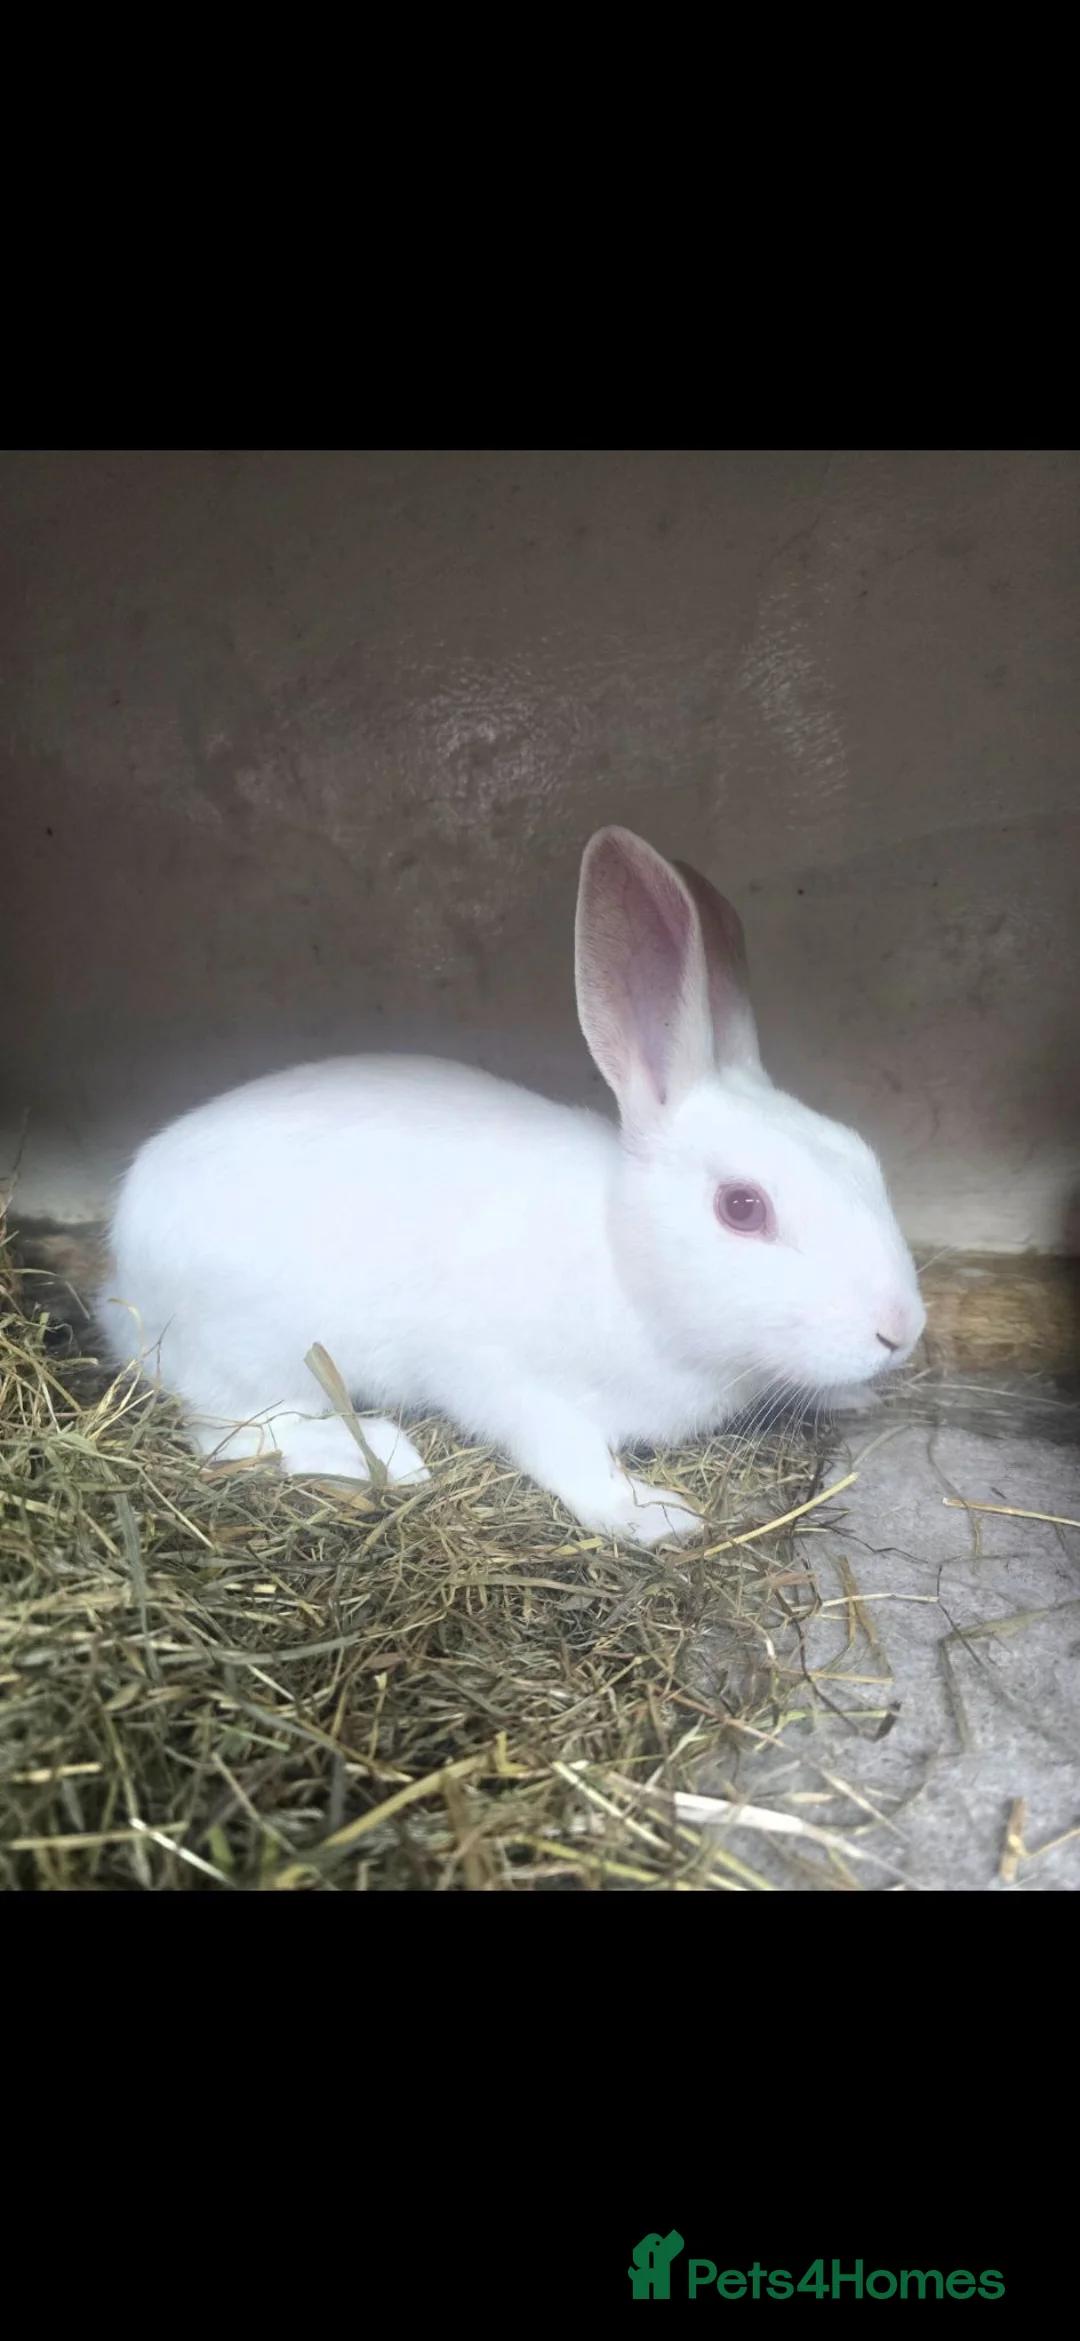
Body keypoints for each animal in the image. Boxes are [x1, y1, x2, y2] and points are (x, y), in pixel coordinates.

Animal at [99, 826, 926, 1545]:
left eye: (862, 1156)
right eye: (743, 1207)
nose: (900, 1331)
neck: (626, 1265)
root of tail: (122, 1277)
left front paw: (857, 1391)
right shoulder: (514, 1385)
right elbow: (574, 1461)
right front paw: (656, 1516)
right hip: (256, 1353)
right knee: (235, 1434)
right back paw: (387, 1456)